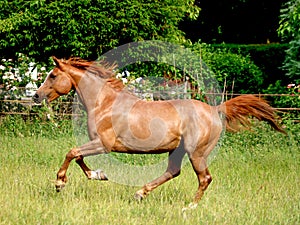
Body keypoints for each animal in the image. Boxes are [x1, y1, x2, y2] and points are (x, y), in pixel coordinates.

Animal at [33, 56, 286, 209]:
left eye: (53, 75)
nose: (36, 96)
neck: (104, 103)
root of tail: (215, 110)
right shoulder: (98, 143)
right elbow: (78, 157)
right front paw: (99, 174)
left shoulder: (103, 143)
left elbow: (72, 152)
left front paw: (59, 183)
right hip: (177, 150)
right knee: (173, 172)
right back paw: (140, 193)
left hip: (196, 153)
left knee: (204, 178)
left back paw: (189, 207)